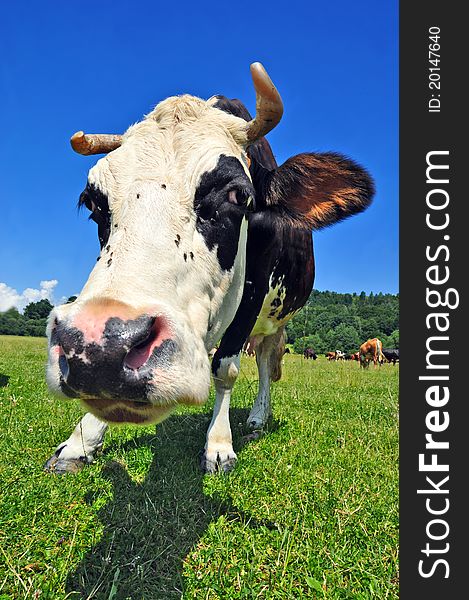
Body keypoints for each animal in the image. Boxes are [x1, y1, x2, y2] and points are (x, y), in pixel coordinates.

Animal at [44, 61, 372, 474]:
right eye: (92, 202)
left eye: (238, 195)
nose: (103, 349)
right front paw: (81, 440)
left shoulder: (252, 295)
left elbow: (226, 368)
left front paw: (218, 445)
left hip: (275, 321)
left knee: (266, 362)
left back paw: (258, 417)